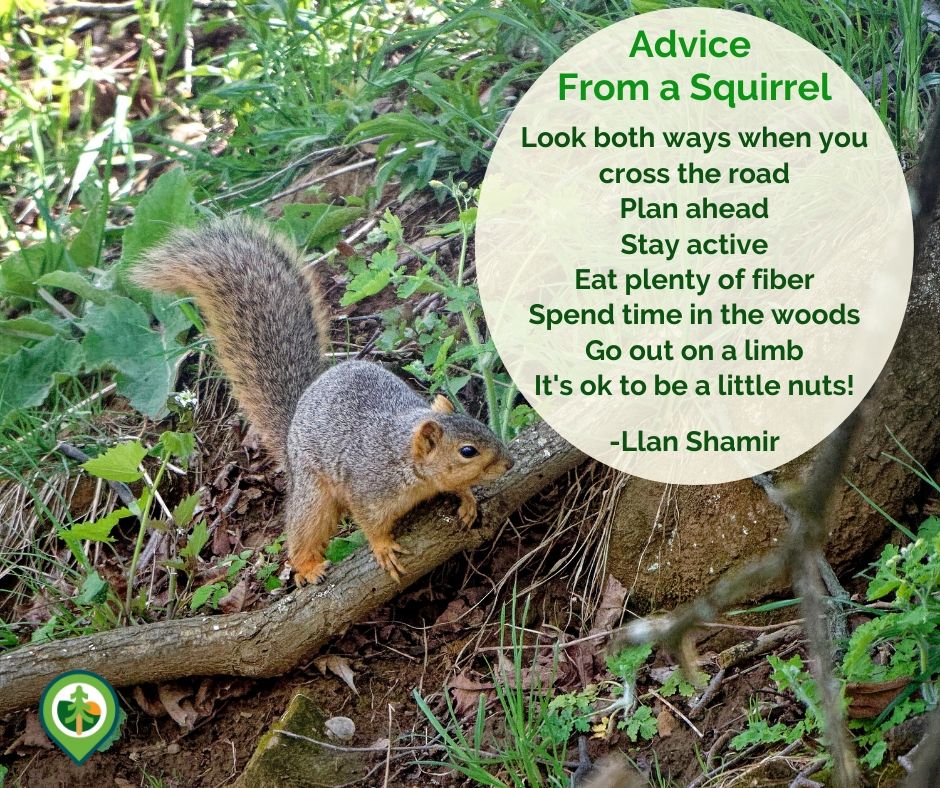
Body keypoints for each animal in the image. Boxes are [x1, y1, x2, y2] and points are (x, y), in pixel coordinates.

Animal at [130, 216, 514, 585]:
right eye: (467, 451)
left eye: (480, 423)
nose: (509, 463)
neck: (403, 455)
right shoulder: (367, 489)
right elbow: (369, 522)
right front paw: (383, 547)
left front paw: (466, 499)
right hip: (313, 492)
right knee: (304, 528)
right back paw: (307, 565)